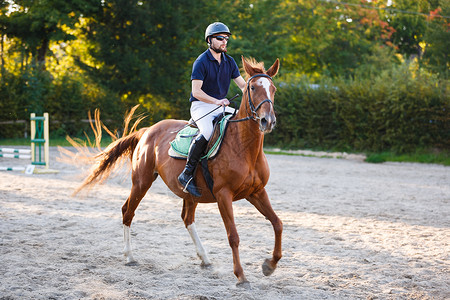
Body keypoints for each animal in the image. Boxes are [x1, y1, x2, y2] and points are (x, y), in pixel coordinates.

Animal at [77, 56, 282, 286]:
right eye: (253, 87)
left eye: (273, 89)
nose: (267, 121)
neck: (244, 147)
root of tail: (147, 130)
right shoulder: (224, 195)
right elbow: (233, 236)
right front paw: (240, 275)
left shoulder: (256, 192)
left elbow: (277, 223)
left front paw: (269, 265)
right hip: (141, 182)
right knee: (127, 211)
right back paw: (129, 256)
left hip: (191, 192)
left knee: (187, 218)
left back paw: (205, 259)